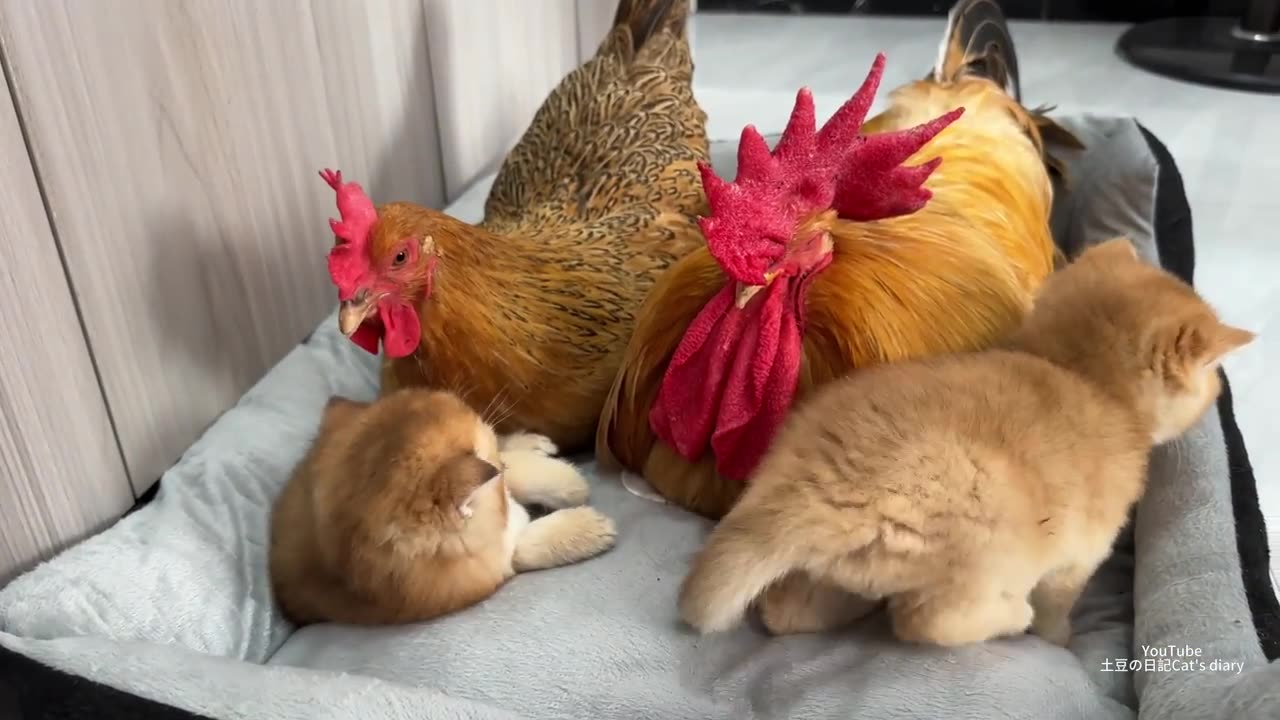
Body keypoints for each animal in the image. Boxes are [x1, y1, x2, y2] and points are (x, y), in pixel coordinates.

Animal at [268, 386, 614, 622]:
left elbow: (510, 468)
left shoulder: (491, 466)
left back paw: (528, 442)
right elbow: (522, 546)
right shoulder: (478, 572)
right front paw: (583, 528)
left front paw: (566, 481)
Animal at [675, 237, 1254, 645]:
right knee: (926, 621)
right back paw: (1010, 616)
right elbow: (1057, 610)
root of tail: (808, 487)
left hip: (830, 569)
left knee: (787, 613)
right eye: (1212, 376)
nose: (1222, 391)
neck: (1080, 375)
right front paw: (1060, 640)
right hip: (984, 554)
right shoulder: (1078, 557)